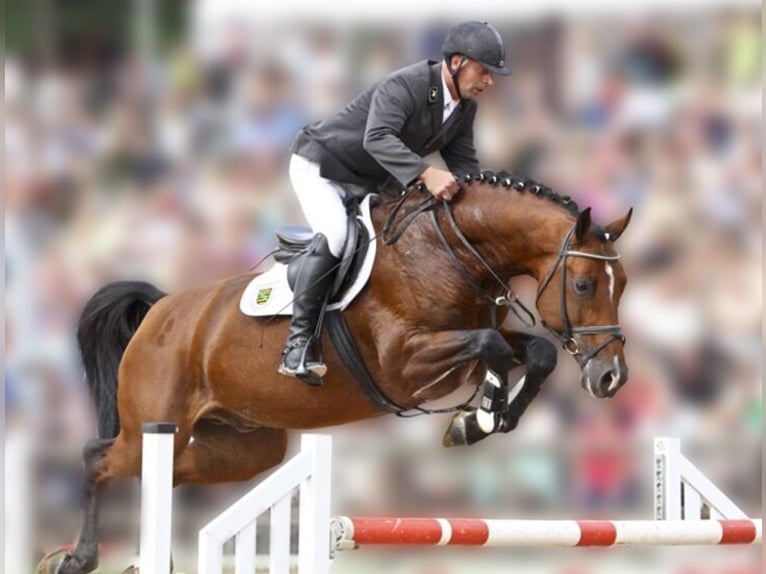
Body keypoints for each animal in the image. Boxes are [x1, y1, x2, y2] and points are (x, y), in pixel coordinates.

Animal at [49, 172, 631, 573]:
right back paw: (78, 558)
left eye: (621, 283)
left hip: (241, 448)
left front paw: (476, 421)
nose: (612, 378)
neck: (451, 252)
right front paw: (482, 415)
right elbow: (495, 348)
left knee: (167, 473)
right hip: (152, 427)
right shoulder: (404, 363)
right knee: (99, 457)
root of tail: (162, 308)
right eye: (583, 284)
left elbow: (535, 352)